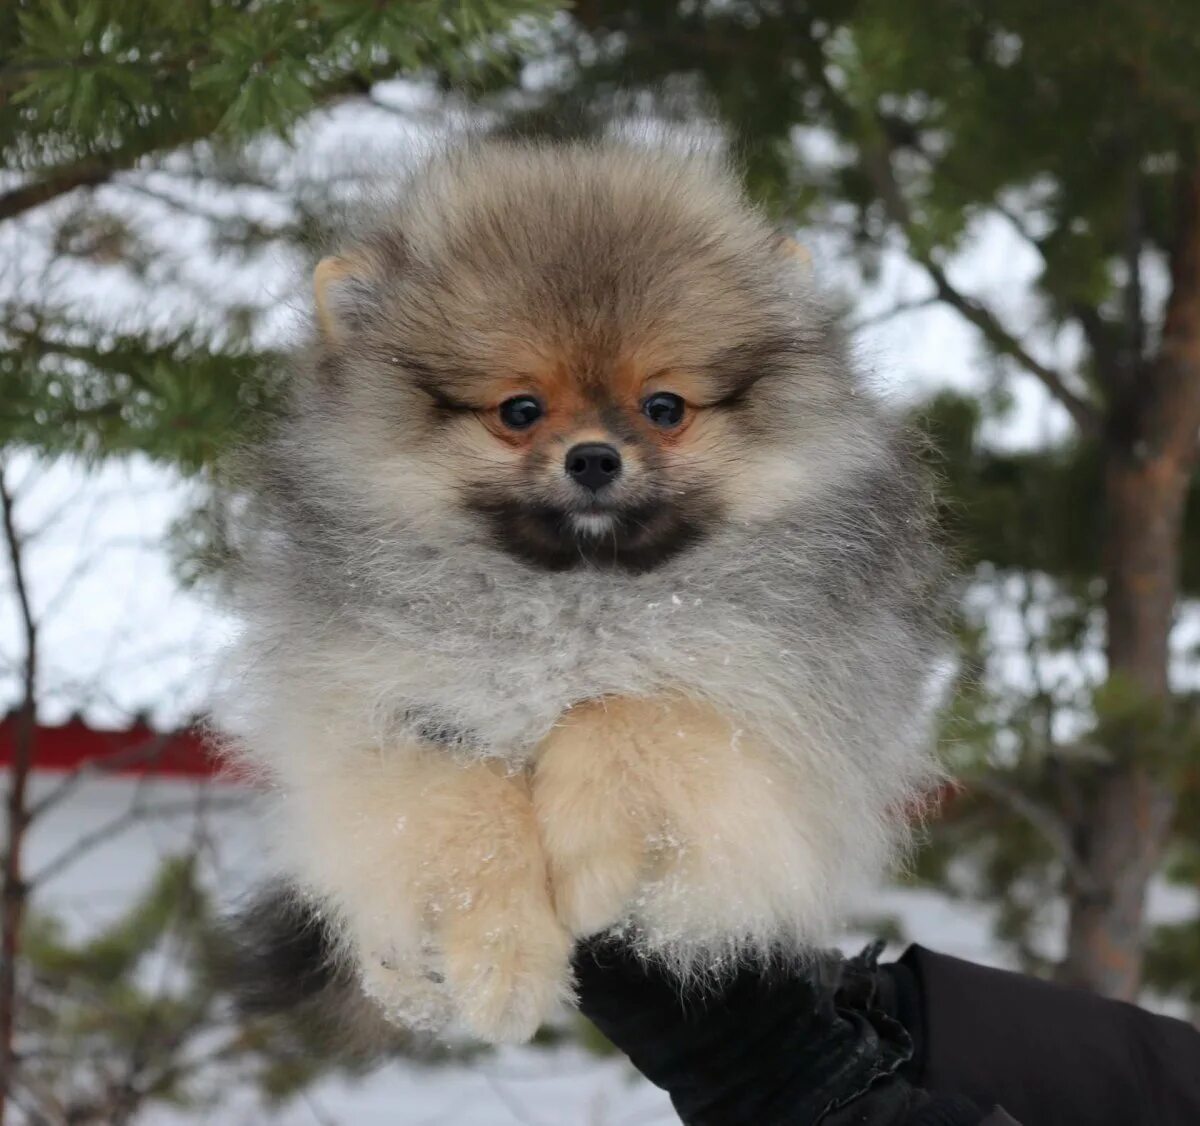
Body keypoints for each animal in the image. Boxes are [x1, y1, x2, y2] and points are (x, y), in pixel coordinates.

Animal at [220, 136, 940, 1041]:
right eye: (520, 410)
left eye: (663, 406)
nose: (594, 456)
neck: (574, 600)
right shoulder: (388, 717)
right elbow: (467, 803)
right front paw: (505, 965)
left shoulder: (779, 723)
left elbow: (626, 712)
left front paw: (588, 868)